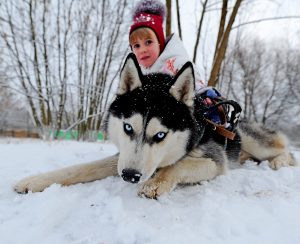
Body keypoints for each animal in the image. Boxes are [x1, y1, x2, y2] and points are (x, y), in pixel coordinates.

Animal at [14, 53, 296, 198]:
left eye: (160, 135)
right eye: (128, 128)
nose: (130, 176)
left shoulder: (216, 161)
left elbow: (179, 165)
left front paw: (156, 182)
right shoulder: (122, 157)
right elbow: (79, 169)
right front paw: (35, 181)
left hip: (250, 140)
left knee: (286, 149)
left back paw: (280, 161)